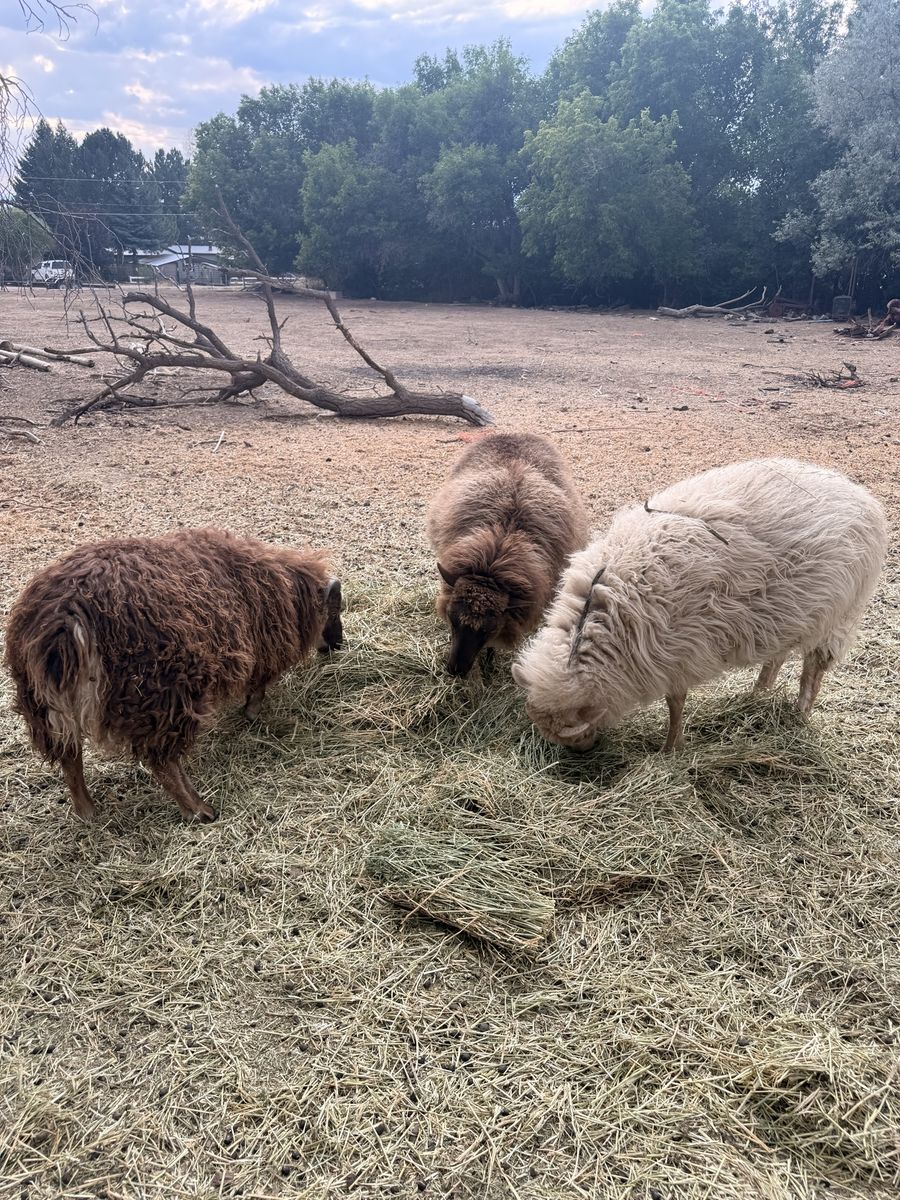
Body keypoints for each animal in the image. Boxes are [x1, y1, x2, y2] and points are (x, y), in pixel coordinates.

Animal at [4, 528, 342, 822]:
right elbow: (259, 685)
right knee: (163, 761)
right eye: (334, 610)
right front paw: (252, 712)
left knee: (69, 757)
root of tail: (67, 616)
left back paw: (87, 811)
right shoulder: (262, 650)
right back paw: (198, 809)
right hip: (162, 694)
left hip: (43, 705)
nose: (336, 645)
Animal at [426, 432, 589, 677]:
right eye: (453, 620)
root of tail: (515, 434)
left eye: (487, 631)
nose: (455, 670)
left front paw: (489, 663)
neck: (495, 555)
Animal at [512, 458, 888, 751]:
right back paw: (758, 693)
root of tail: (863, 497)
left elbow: (675, 704)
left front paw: (670, 748)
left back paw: (800, 714)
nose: (584, 753)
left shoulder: (678, 654)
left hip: (839, 616)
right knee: (778, 655)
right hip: (792, 612)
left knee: (814, 670)